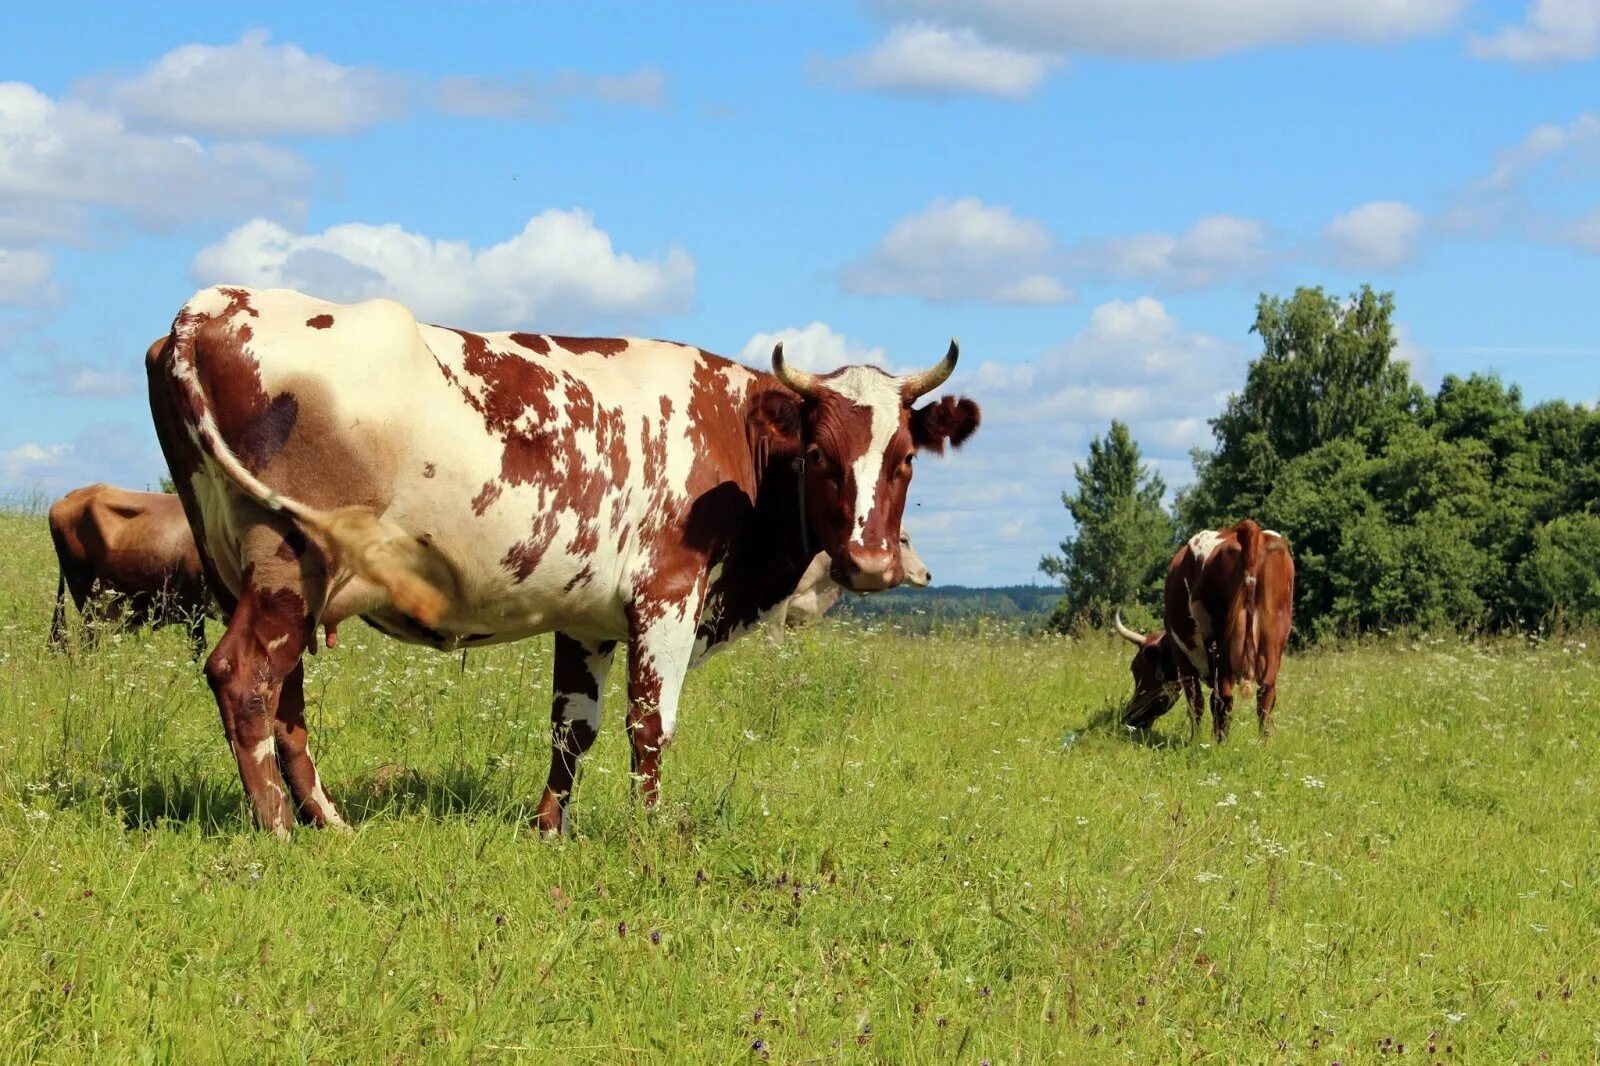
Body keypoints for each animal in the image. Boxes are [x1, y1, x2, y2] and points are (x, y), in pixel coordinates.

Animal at [1120, 515, 1292, 736]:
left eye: (1137, 669)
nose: (1129, 717)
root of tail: (1248, 528)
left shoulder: (1181, 655)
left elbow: (1195, 702)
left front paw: (1194, 740)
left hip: (1217, 643)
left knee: (1221, 699)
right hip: (1273, 642)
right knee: (1266, 697)